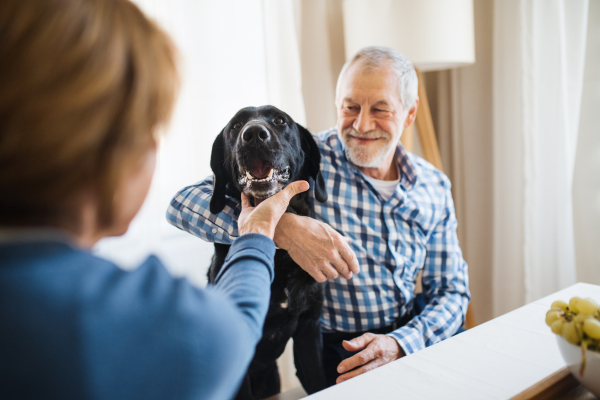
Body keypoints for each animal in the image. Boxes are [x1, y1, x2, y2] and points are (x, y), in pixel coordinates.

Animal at [206, 104, 328, 398]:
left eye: (280, 120)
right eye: (235, 126)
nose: (253, 135)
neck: (279, 254)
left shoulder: (309, 326)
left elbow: (319, 380)